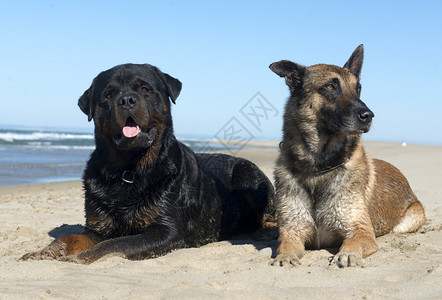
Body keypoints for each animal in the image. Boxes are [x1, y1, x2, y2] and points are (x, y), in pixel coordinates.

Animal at [23, 63, 276, 264]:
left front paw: (80, 258)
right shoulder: (100, 226)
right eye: (108, 95)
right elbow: (70, 237)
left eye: (144, 89)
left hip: (247, 173)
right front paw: (43, 252)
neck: (127, 169)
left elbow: (115, 245)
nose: (126, 100)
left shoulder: (166, 231)